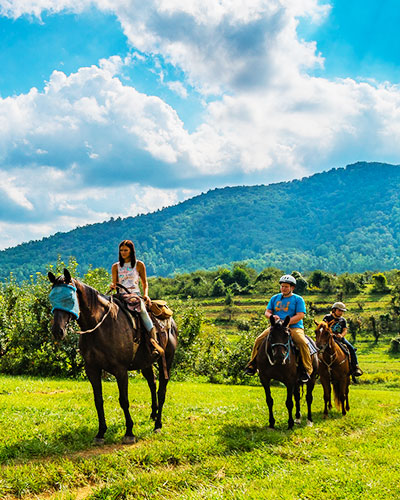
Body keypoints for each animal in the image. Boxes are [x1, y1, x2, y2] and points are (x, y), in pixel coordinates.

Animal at [47, 268, 177, 444]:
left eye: (68, 298)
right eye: (52, 298)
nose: (57, 331)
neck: (100, 326)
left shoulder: (120, 370)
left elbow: (124, 400)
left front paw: (129, 432)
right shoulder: (92, 369)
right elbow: (98, 400)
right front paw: (101, 432)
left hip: (167, 360)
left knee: (161, 391)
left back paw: (158, 425)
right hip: (146, 363)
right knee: (152, 383)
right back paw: (153, 414)